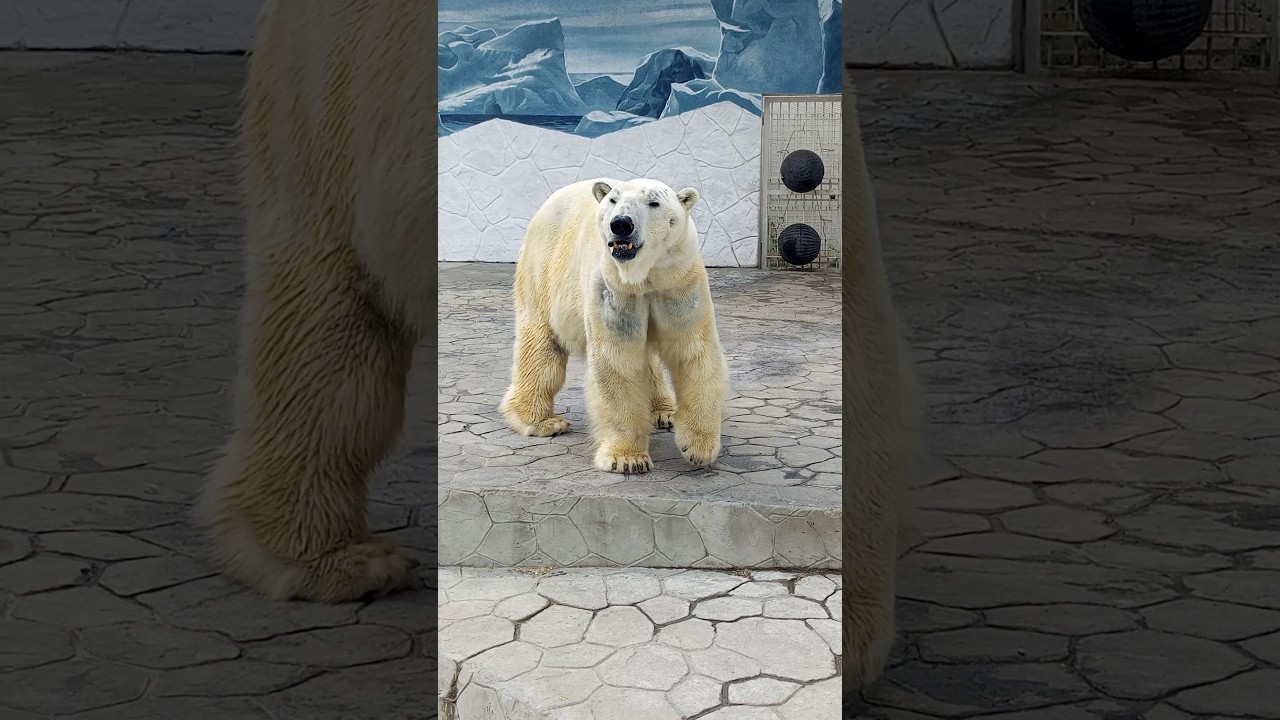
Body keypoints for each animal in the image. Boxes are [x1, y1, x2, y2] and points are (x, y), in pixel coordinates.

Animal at [500, 178, 730, 474]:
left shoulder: (678, 281)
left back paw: (664, 412)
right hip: (544, 269)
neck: (644, 276)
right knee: (541, 344)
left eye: (654, 202)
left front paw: (699, 448)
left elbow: (692, 351)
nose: (621, 223)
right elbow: (618, 360)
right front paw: (628, 459)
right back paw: (541, 421)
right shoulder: (613, 288)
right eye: (613, 200)